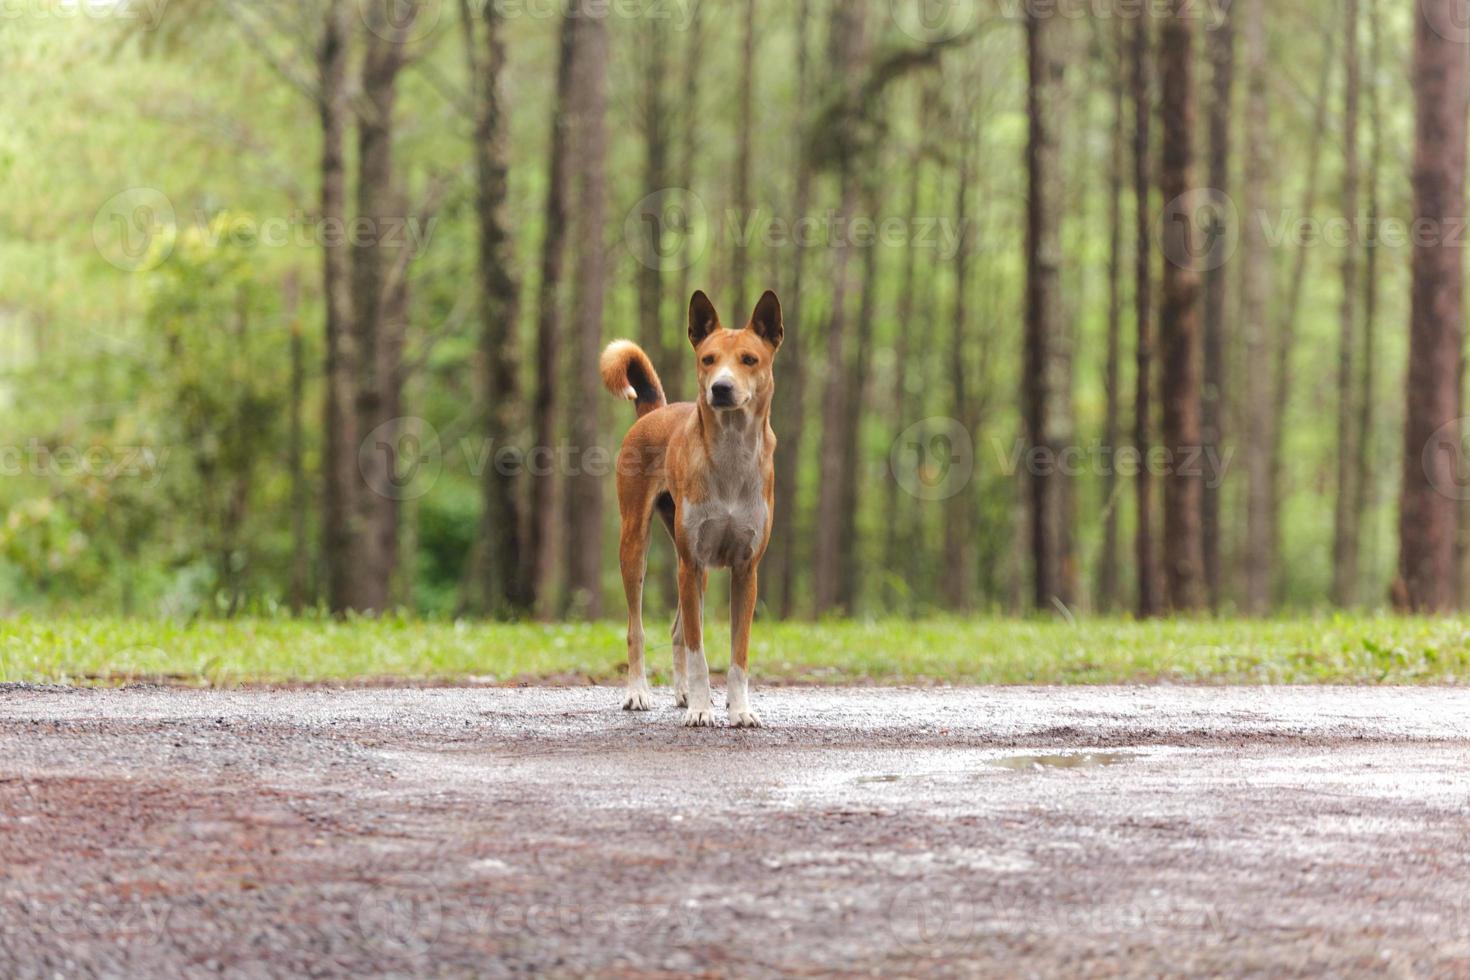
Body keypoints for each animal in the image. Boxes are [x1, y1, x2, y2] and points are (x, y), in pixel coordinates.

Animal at [596, 287, 782, 725]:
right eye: (708, 359)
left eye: (749, 359)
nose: (721, 388)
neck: (730, 455)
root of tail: (656, 410)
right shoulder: (690, 561)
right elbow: (699, 653)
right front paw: (700, 710)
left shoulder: (745, 569)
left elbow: (737, 654)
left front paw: (739, 709)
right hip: (637, 546)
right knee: (638, 628)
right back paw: (639, 692)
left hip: (700, 570)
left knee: (678, 629)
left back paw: (682, 693)